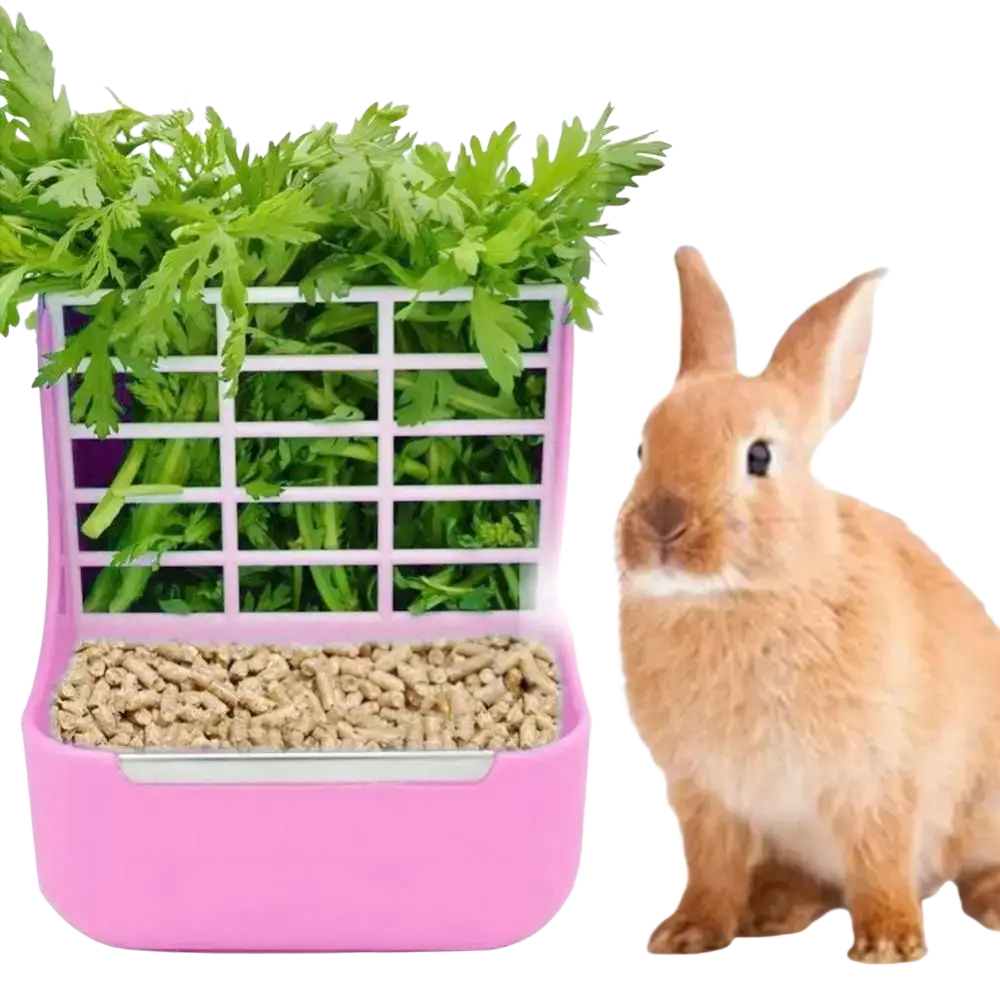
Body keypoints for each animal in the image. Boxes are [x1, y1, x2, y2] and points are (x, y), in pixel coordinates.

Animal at [613, 246, 999, 965]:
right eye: (643, 447)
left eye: (760, 456)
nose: (662, 524)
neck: (743, 596)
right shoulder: (705, 796)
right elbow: (711, 870)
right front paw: (686, 934)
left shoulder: (879, 779)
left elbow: (879, 859)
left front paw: (888, 943)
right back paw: (770, 908)